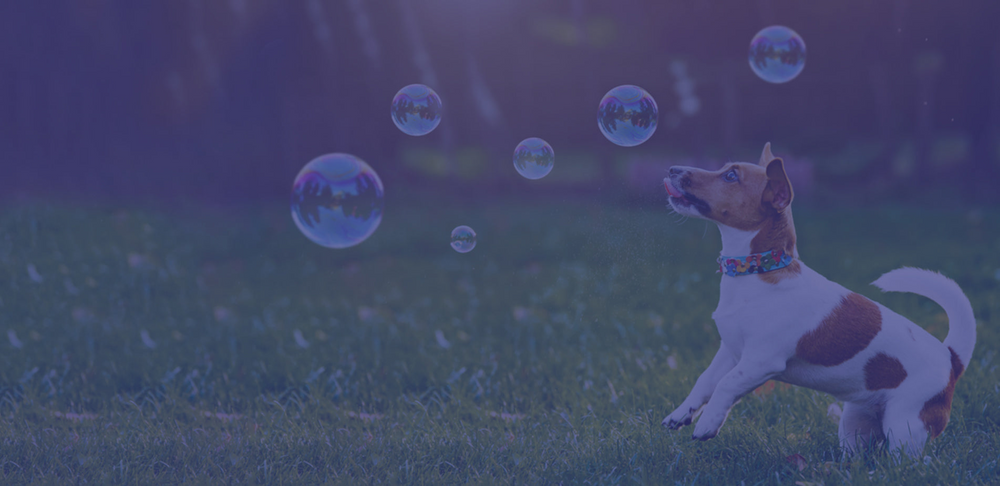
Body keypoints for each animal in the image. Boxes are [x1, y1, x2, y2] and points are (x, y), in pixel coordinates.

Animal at [660, 142, 972, 458]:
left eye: (731, 176)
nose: (673, 169)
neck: (759, 270)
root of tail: (951, 359)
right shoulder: (731, 352)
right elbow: (705, 381)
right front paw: (681, 413)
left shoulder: (761, 361)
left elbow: (725, 385)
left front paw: (708, 423)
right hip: (855, 422)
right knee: (859, 456)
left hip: (905, 426)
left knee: (910, 462)